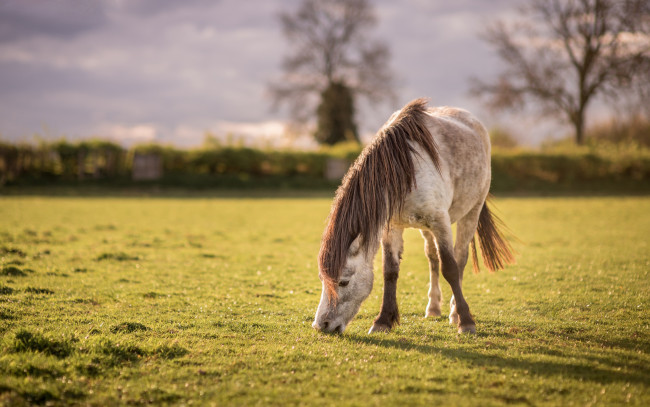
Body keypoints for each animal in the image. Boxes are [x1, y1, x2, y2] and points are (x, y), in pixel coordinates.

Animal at [312, 98, 512, 334]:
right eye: (323, 279)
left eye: (343, 282)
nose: (322, 325)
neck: (405, 172)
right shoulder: (391, 227)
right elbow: (390, 271)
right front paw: (383, 321)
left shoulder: (440, 223)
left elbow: (450, 268)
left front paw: (466, 322)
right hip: (425, 229)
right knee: (433, 258)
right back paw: (433, 308)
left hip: (471, 213)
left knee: (460, 258)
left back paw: (455, 312)